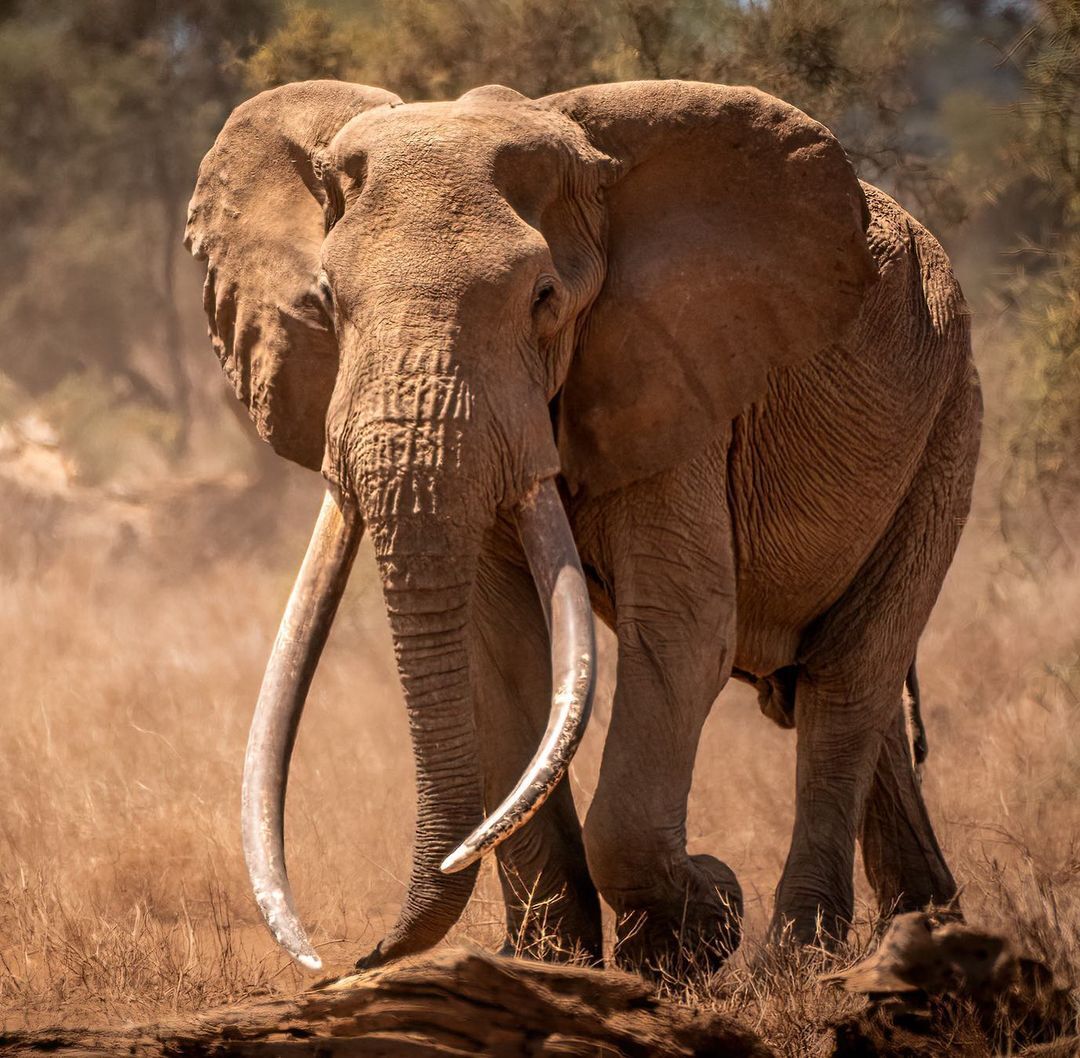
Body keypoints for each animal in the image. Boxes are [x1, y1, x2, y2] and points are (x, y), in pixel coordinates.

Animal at [183, 78, 980, 980]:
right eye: (326, 304)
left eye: (544, 300)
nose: (359, 958)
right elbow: (499, 646)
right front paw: (550, 961)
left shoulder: (681, 378)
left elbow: (683, 628)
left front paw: (695, 930)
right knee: (852, 698)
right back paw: (925, 932)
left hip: (948, 424)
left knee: (847, 678)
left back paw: (799, 962)